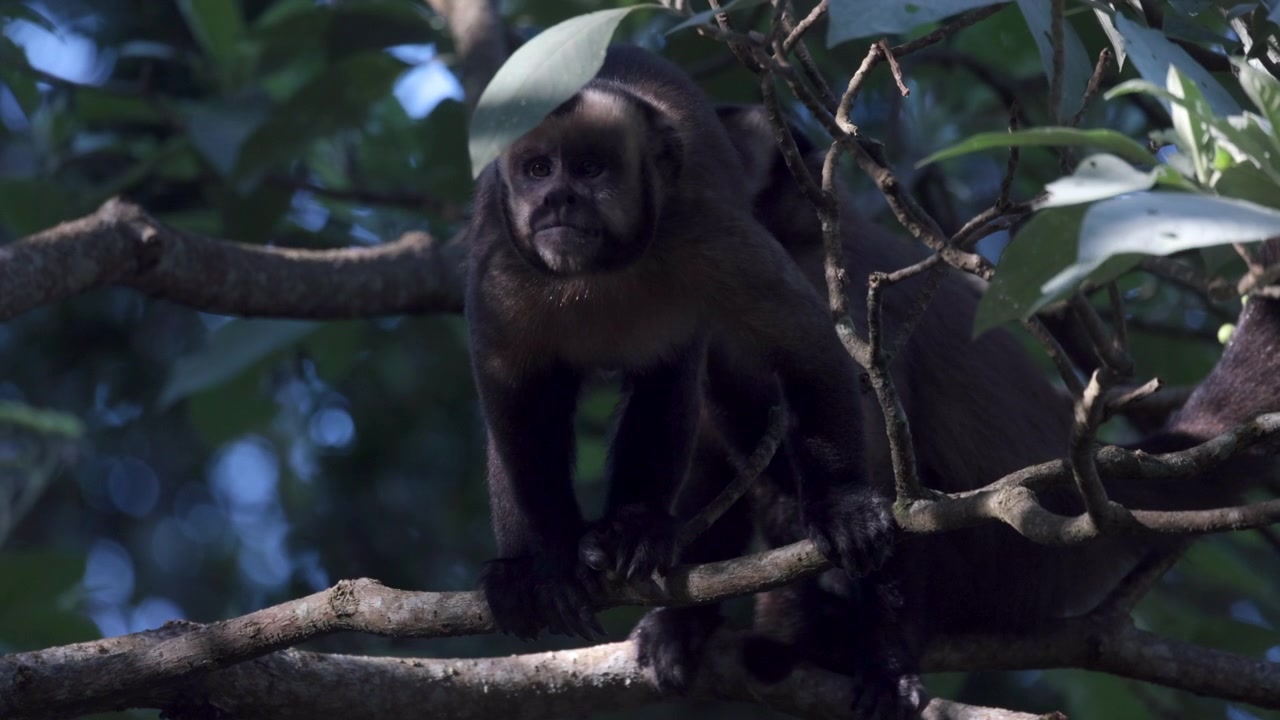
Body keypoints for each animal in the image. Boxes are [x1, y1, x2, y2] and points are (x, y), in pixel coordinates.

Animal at [464, 47, 895, 642]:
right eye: (538, 170)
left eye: (590, 170)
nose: (557, 198)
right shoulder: (501, 267)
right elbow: (512, 395)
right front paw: (553, 564)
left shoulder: (703, 231)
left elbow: (803, 345)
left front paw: (843, 506)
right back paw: (520, 570)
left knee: (670, 377)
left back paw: (634, 531)